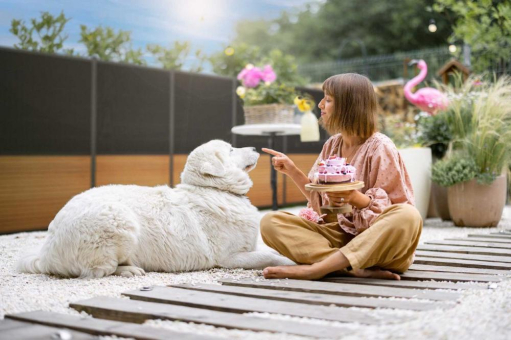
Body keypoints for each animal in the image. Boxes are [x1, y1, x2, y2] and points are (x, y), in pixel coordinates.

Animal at [19, 139, 296, 278]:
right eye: (230, 149)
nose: (254, 147)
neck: (214, 189)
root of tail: (46, 251)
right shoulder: (230, 257)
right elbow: (270, 256)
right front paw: (287, 263)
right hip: (118, 219)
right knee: (96, 272)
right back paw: (129, 270)